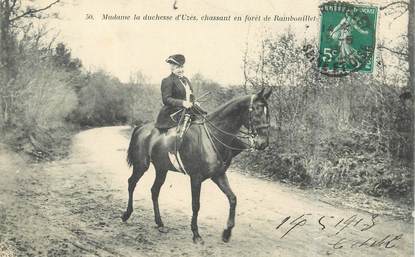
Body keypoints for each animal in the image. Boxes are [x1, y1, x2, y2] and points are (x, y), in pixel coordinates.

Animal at [122, 87, 272, 243]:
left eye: (268, 112)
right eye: (256, 111)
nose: (263, 143)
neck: (212, 136)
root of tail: (141, 127)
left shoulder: (218, 175)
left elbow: (233, 198)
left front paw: (227, 232)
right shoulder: (196, 178)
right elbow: (196, 205)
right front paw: (196, 233)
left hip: (161, 169)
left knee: (154, 191)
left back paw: (160, 223)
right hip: (141, 165)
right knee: (131, 183)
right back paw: (127, 214)